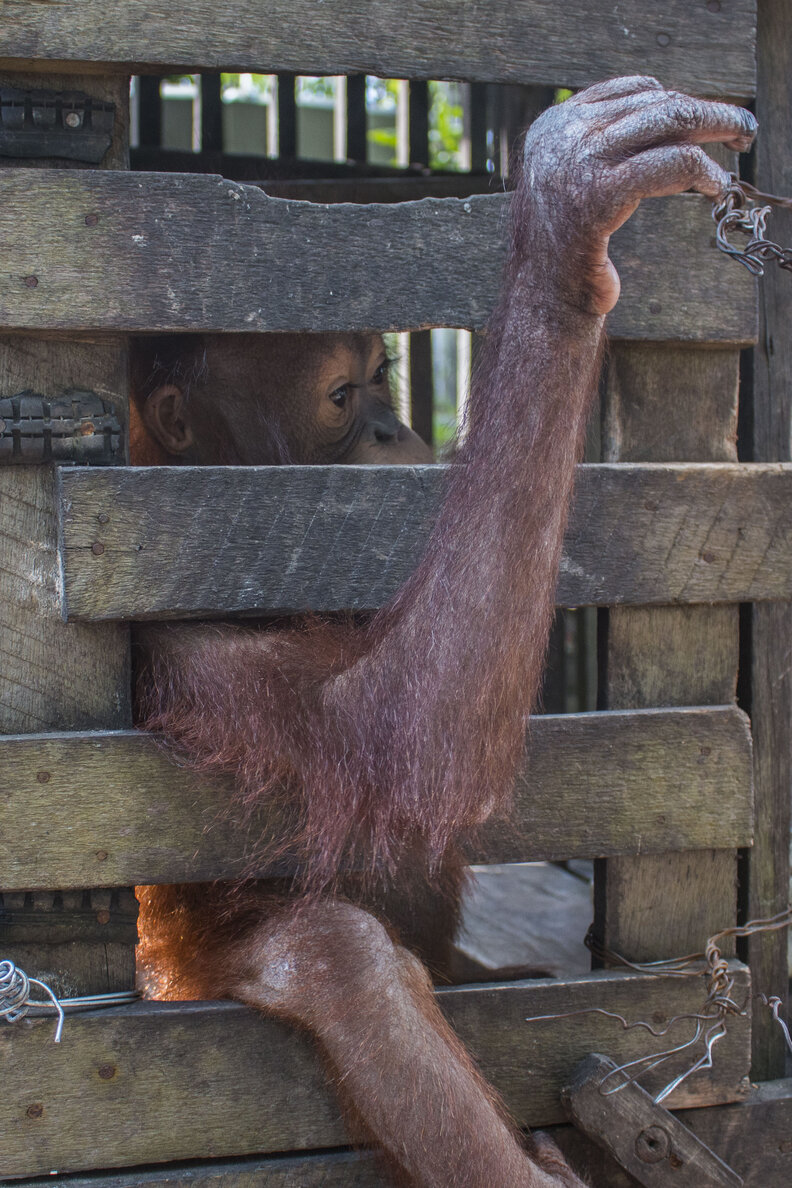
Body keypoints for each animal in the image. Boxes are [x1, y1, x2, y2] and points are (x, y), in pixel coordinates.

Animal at [134, 79, 757, 1187]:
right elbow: (395, 732)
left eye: (383, 373)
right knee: (340, 960)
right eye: (343, 396)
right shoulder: (165, 629)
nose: (393, 426)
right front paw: (563, 242)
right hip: (180, 981)